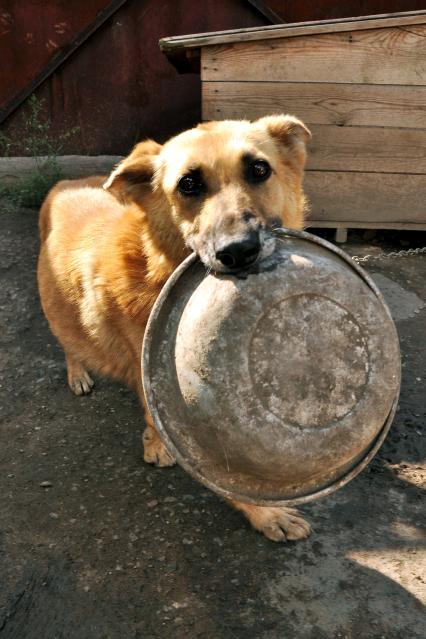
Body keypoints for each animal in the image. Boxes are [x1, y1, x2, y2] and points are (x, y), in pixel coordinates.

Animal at [39, 116, 312, 544]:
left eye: (259, 169)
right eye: (188, 184)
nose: (238, 252)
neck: (157, 269)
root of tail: (67, 181)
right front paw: (266, 514)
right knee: (68, 342)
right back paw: (78, 373)